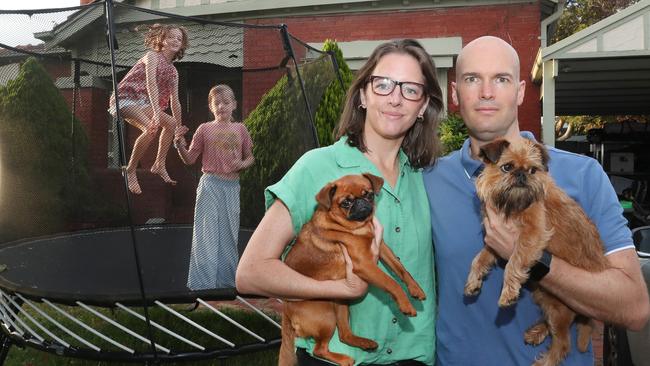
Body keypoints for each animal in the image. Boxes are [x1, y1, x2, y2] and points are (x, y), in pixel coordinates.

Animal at [278, 173, 426, 366]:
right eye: (346, 202)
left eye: (369, 194)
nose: (361, 203)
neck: (359, 227)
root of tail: (286, 310)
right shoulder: (365, 264)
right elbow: (391, 283)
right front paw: (406, 304)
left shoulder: (381, 248)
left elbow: (400, 268)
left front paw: (416, 289)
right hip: (326, 315)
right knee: (320, 349)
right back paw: (344, 359)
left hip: (341, 306)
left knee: (344, 335)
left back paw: (365, 343)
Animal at [464, 139, 612, 366]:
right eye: (507, 167)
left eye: (533, 170)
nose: (522, 175)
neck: (513, 205)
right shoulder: (494, 242)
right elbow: (479, 259)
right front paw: (473, 281)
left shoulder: (532, 234)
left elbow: (513, 263)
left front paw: (508, 293)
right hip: (545, 297)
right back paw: (537, 332)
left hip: (559, 307)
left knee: (563, 344)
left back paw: (545, 360)